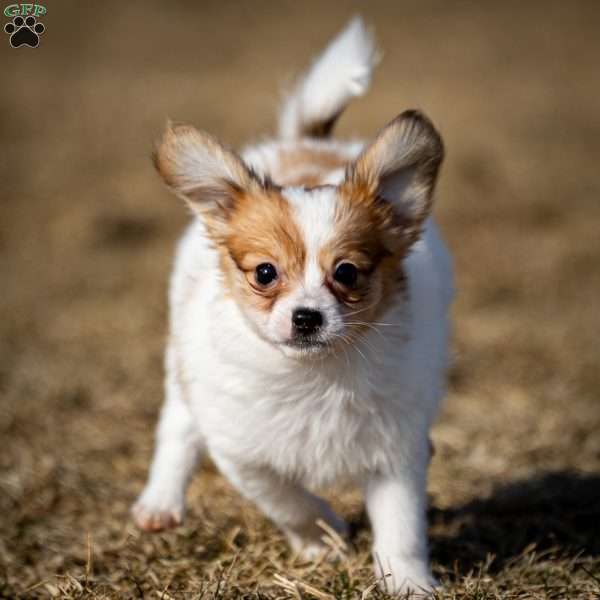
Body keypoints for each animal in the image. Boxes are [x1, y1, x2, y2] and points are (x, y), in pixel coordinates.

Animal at [131, 15, 450, 596]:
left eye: (346, 273)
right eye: (265, 273)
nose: (306, 317)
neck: (312, 375)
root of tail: (303, 142)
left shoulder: (396, 449)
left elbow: (401, 527)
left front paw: (409, 583)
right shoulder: (240, 448)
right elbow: (286, 497)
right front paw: (323, 537)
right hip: (183, 363)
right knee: (177, 426)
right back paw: (160, 502)